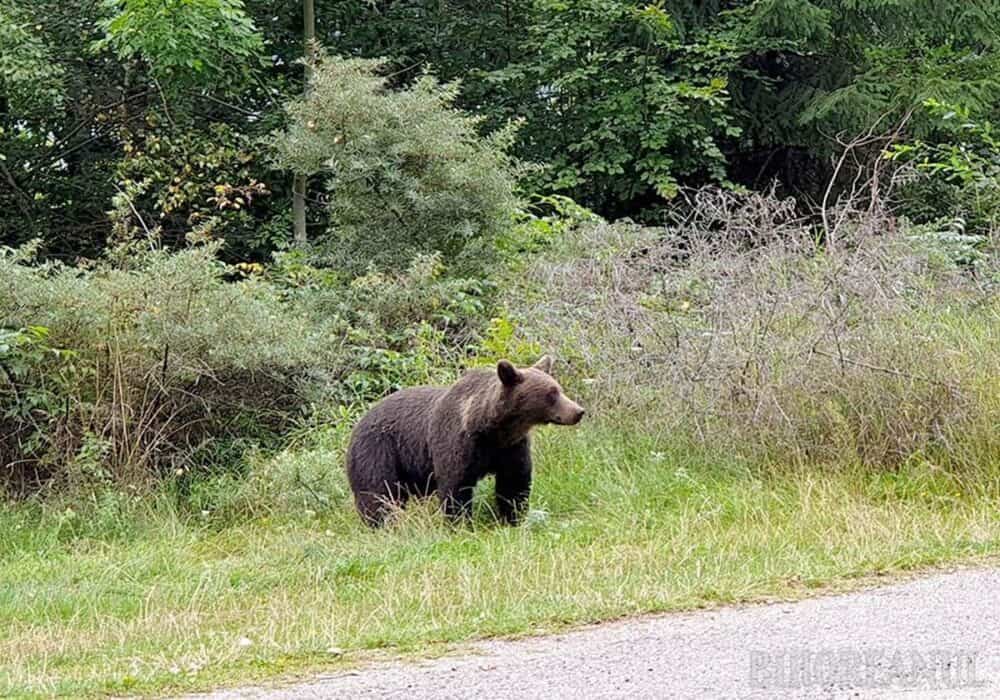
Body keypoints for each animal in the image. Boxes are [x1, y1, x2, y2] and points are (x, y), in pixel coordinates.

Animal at [348, 358, 584, 528]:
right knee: (377, 492)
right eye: (551, 394)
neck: (492, 430)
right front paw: (460, 524)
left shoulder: (511, 448)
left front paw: (513, 518)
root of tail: (358, 423)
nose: (578, 411)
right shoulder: (457, 443)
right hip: (378, 450)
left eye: (559, 389)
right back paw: (382, 525)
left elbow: (514, 482)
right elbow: (455, 485)